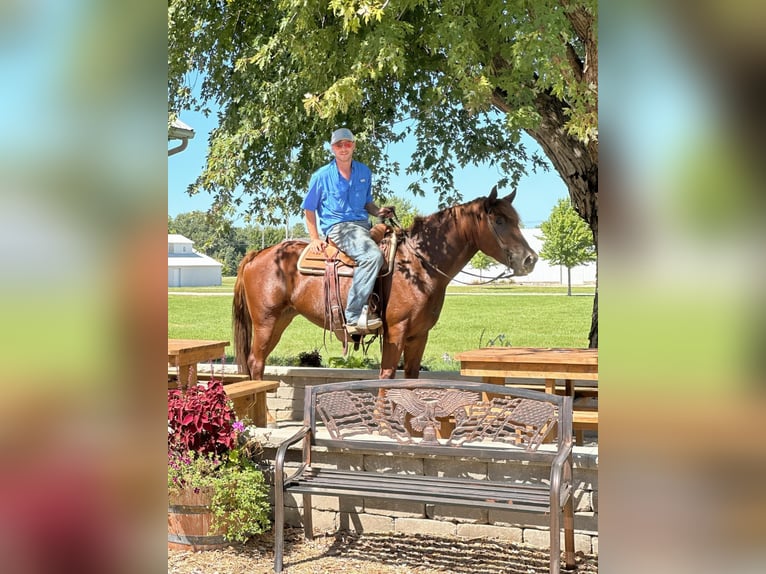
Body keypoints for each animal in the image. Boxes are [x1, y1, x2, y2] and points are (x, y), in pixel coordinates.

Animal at [232, 186, 537, 380]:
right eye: (498, 220)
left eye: (515, 220)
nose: (530, 259)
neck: (419, 263)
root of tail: (258, 254)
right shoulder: (396, 332)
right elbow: (387, 376)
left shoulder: (419, 335)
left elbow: (411, 378)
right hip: (266, 321)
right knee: (255, 361)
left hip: (281, 320)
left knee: (258, 362)